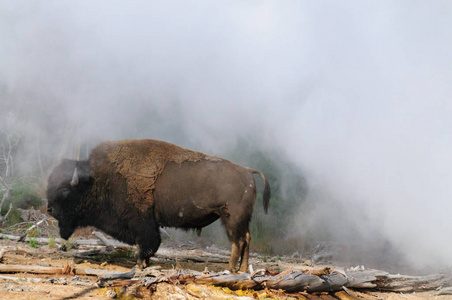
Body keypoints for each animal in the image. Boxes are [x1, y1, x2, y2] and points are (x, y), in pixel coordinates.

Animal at [46, 139, 270, 274]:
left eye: (65, 191)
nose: (49, 209)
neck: (99, 179)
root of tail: (247, 171)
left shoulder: (141, 221)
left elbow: (146, 244)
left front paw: (139, 264)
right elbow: (151, 244)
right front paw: (144, 264)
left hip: (231, 217)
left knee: (237, 242)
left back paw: (230, 269)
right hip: (241, 219)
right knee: (246, 239)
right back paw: (242, 270)